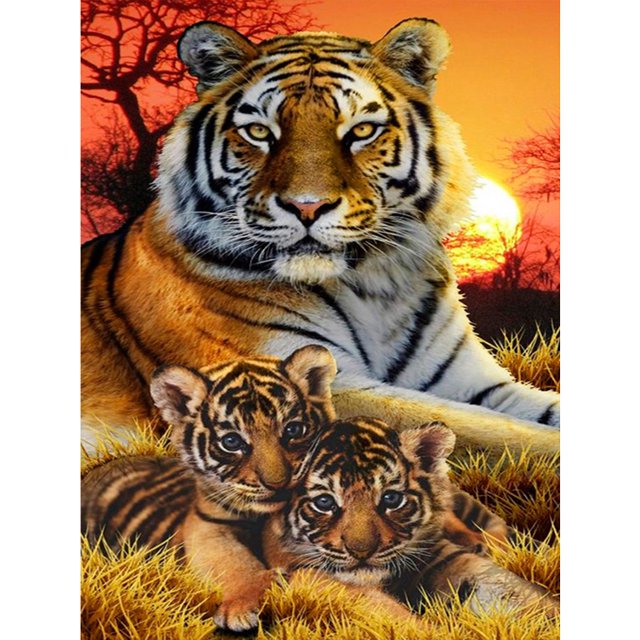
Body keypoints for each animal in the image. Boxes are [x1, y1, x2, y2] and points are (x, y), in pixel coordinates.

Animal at [81, 18, 559, 456]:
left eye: (361, 131)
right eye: (259, 132)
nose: (307, 206)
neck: (374, 286)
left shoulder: (471, 381)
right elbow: (498, 433)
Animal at [82, 344, 338, 631]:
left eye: (293, 429)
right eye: (231, 442)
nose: (277, 484)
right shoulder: (208, 526)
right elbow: (233, 562)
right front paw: (243, 604)